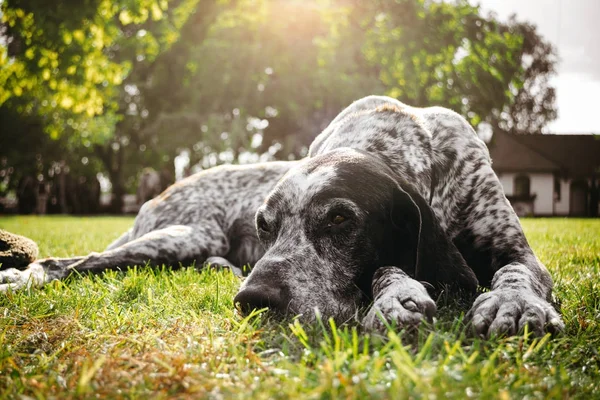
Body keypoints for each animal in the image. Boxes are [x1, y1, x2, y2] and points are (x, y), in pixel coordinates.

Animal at [0, 97, 564, 338]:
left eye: (339, 220)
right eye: (264, 225)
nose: (253, 300)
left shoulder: (516, 249)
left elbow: (514, 272)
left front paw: (513, 305)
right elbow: (390, 268)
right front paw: (397, 295)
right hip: (179, 235)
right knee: (69, 262)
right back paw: (21, 277)